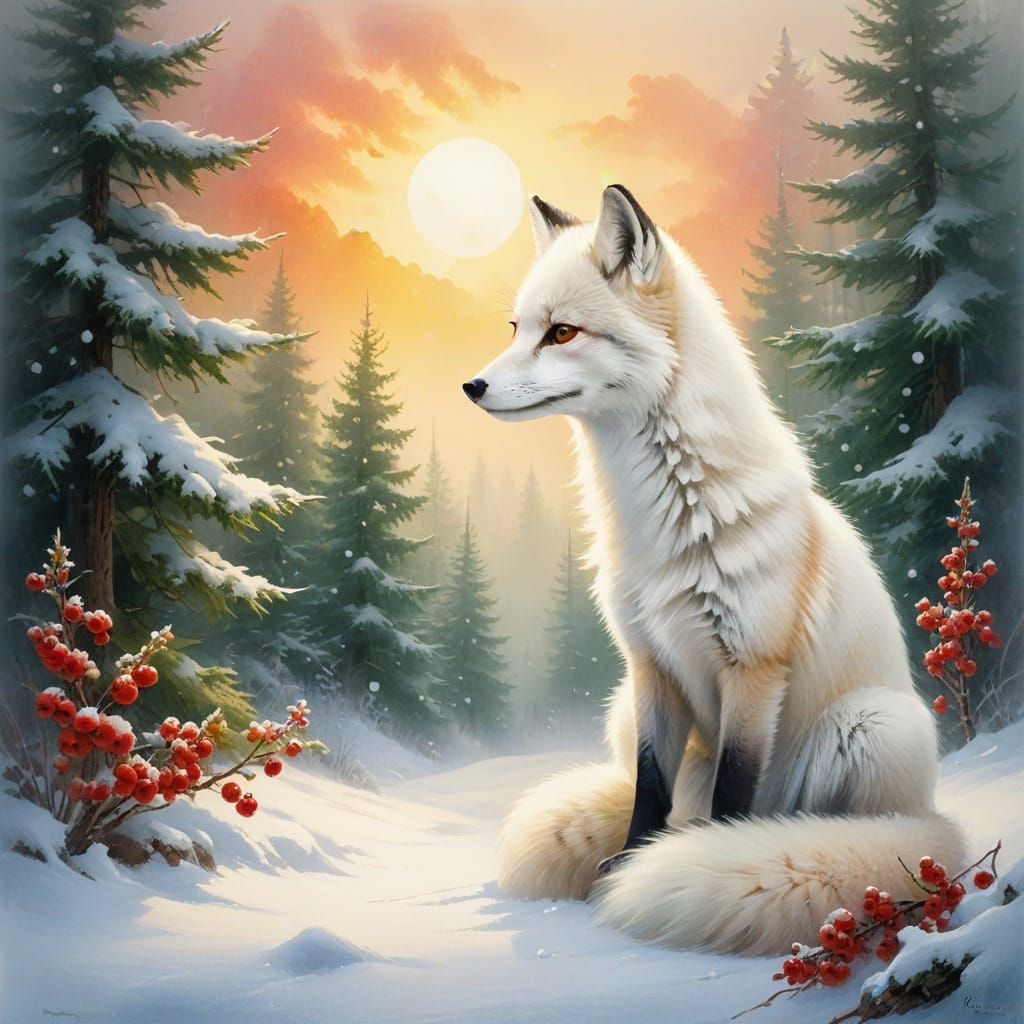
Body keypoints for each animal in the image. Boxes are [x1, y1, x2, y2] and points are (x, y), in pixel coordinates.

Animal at [461, 185, 966, 955]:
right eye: (518, 327)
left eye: (563, 333)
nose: (472, 385)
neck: (670, 520)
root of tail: (940, 820)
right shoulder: (650, 666)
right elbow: (649, 790)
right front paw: (631, 862)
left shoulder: (752, 668)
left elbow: (733, 792)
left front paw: (706, 859)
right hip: (619, 708)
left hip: (871, 726)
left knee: (837, 826)